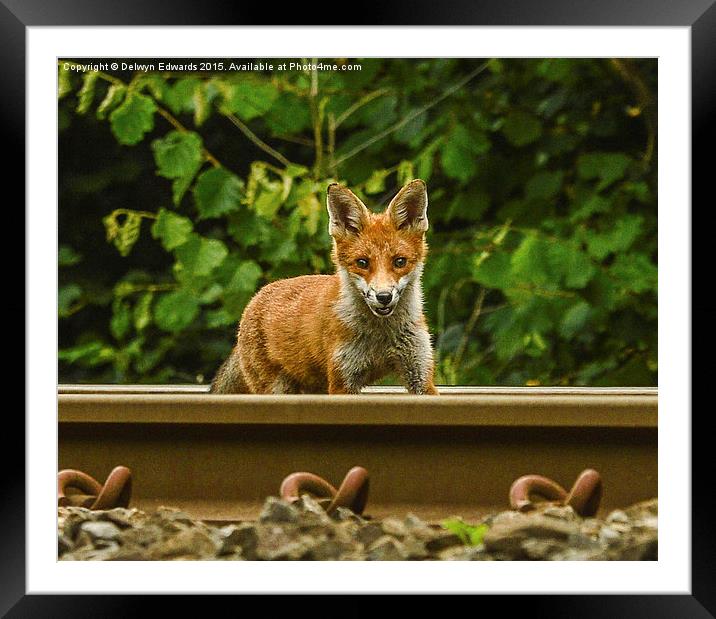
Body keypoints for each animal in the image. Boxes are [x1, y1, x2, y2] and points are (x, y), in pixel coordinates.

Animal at [210, 177, 440, 394]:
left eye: (399, 262)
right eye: (362, 263)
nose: (384, 296)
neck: (381, 337)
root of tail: (255, 298)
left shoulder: (420, 373)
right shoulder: (343, 380)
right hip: (279, 388)